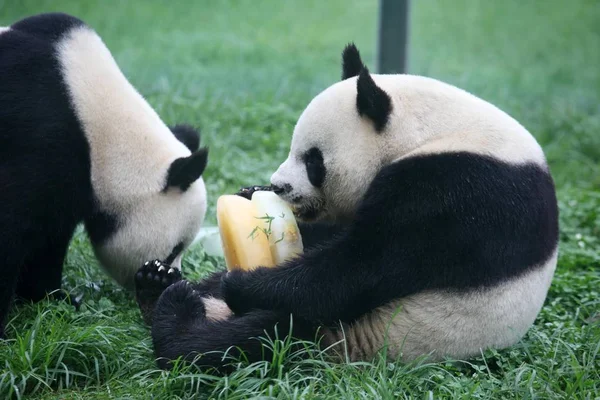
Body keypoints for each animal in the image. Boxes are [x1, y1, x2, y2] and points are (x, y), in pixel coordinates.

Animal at [0, 13, 209, 338]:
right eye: (174, 248)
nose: (175, 278)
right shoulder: (41, 142)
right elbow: (11, 227)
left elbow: (48, 238)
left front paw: (55, 298)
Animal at [135, 43, 556, 372]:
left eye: (313, 161)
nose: (279, 185)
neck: (433, 130)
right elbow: (333, 237)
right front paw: (248, 194)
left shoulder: (459, 192)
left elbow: (360, 266)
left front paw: (243, 283)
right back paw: (157, 282)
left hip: (374, 333)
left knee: (263, 338)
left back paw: (178, 314)